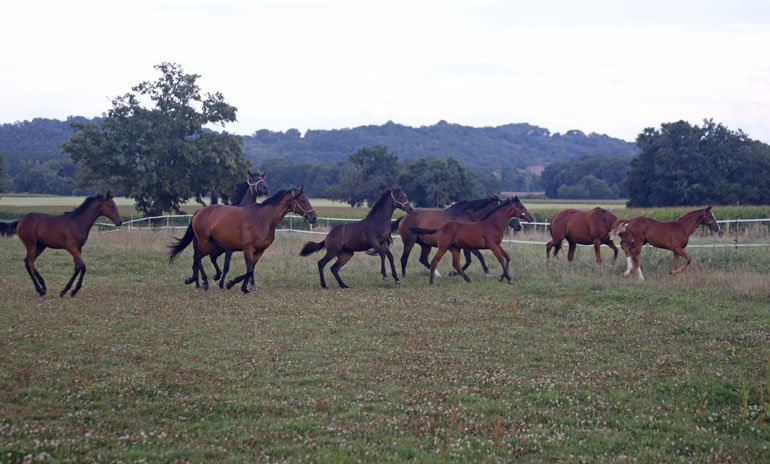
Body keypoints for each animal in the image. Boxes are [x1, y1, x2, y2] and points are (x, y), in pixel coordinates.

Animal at [169, 188, 316, 293]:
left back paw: (199, 281)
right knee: (197, 258)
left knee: (201, 258)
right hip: (204, 243)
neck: (263, 219)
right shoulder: (247, 248)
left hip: (213, 245)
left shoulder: (259, 250)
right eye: (302, 201)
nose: (314, 217)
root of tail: (199, 212)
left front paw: (240, 286)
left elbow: (251, 269)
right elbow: (249, 269)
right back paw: (200, 282)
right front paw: (232, 284)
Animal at [396, 196, 534, 276]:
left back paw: (437, 273)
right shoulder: (468, 245)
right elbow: (474, 258)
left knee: (423, 259)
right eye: (519, 207)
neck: (468, 216)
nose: (519, 226)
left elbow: (472, 259)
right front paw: (485, 272)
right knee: (404, 259)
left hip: (425, 245)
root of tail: (404, 217)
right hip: (409, 242)